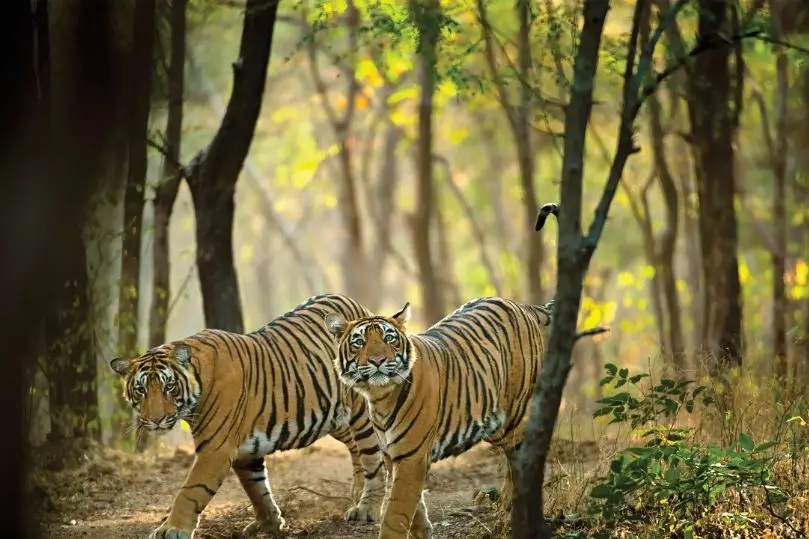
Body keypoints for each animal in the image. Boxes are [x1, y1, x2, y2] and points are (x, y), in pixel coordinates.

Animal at [109, 294, 387, 539]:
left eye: (169, 387)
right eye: (141, 390)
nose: (155, 419)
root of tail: (358, 307)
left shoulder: (215, 449)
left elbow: (190, 491)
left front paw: (171, 529)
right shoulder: (245, 451)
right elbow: (257, 489)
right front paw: (271, 524)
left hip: (361, 414)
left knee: (374, 459)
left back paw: (367, 508)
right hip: (336, 418)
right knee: (357, 452)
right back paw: (356, 494)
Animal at [323, 297, 555, 539]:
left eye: (389, 338)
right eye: (359, 342)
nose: (377, 360)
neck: (380, 396)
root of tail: (519, 305)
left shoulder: (411, 455)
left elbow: (396, 511)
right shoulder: (392, 454)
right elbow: (411, 504)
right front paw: (422, 531)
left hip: (515, 417)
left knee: (522, 458)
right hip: (493, 424)